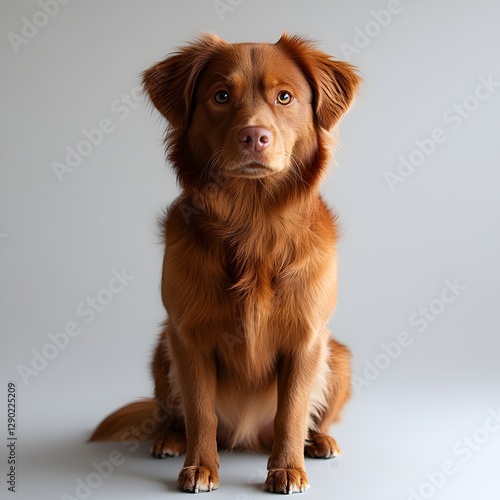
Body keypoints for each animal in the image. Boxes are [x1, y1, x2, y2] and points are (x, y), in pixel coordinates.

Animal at [90, 33, 362, 494]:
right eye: (220, 96)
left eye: (284, 97)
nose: (255, 136)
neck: (252, 221)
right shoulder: (188, 336)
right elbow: (201, 411)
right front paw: (200, 467)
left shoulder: (306, 339)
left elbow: (292, 412)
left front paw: (287, 469)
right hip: (161, 349)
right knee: (175, 415)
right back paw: (169, 438)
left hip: (337, 354)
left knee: (311, 417)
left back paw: (319, 441)